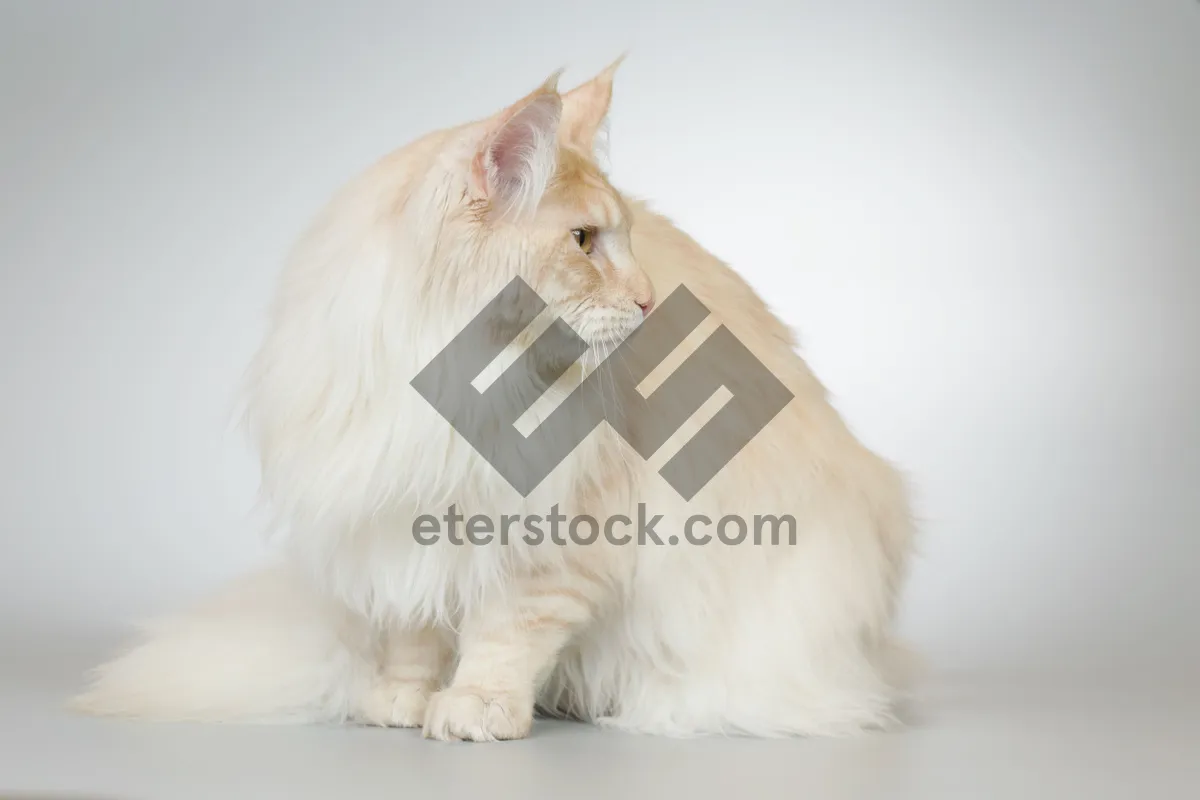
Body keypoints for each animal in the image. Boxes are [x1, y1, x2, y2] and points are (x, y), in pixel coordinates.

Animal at [72, 59, 916, 743]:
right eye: (583, 242)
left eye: (624, 242)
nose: (649, 301)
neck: (456, 374)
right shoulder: (401, 521)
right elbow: (415, 631)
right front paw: (402, 700)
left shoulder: (558, 531)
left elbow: (506, 633)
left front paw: (478, 708)